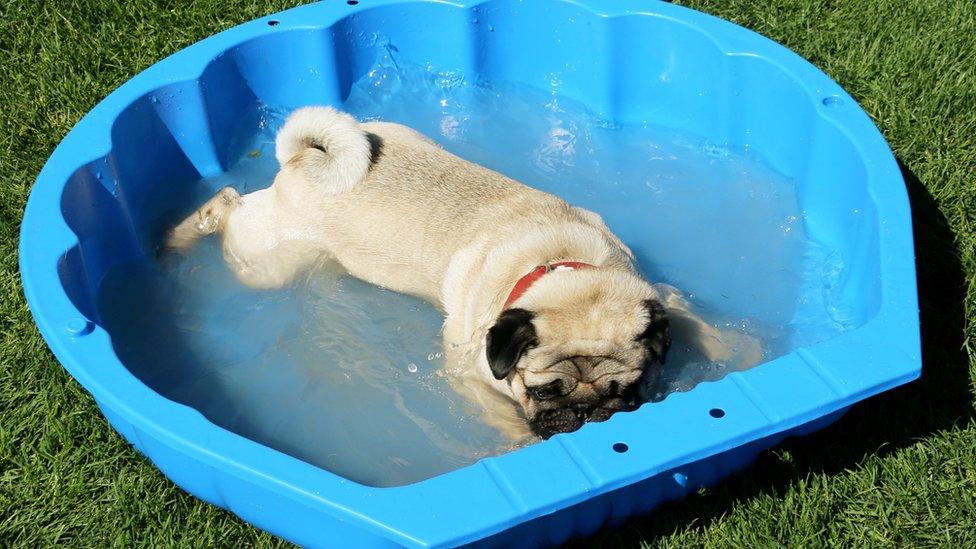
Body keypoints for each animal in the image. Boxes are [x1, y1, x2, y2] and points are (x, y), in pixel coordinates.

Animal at [168, 107, 764, 438]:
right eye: (546, 392)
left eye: (630, 389)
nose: (593, 414)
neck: (561, 261)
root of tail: (306, 161)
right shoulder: (471, 377)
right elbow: (508, 418)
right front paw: (524, 445)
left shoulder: (653, 291)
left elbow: (691, 319)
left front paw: (744, 350)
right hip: (268, 260)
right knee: (226, 204)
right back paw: (178, 237)